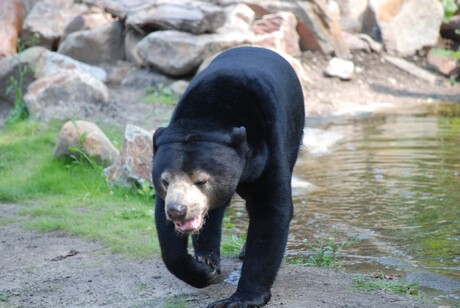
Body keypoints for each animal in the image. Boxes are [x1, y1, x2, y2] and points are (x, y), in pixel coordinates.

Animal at [152, 47, 306, 306]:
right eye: (165, 181)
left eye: (201, 180)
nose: (177, 211)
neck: (209, 115)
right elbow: (167, 236)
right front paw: (204, 272)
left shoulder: (269, 148)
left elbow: (271, 211)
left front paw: (239, 299)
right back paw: (207, 257)